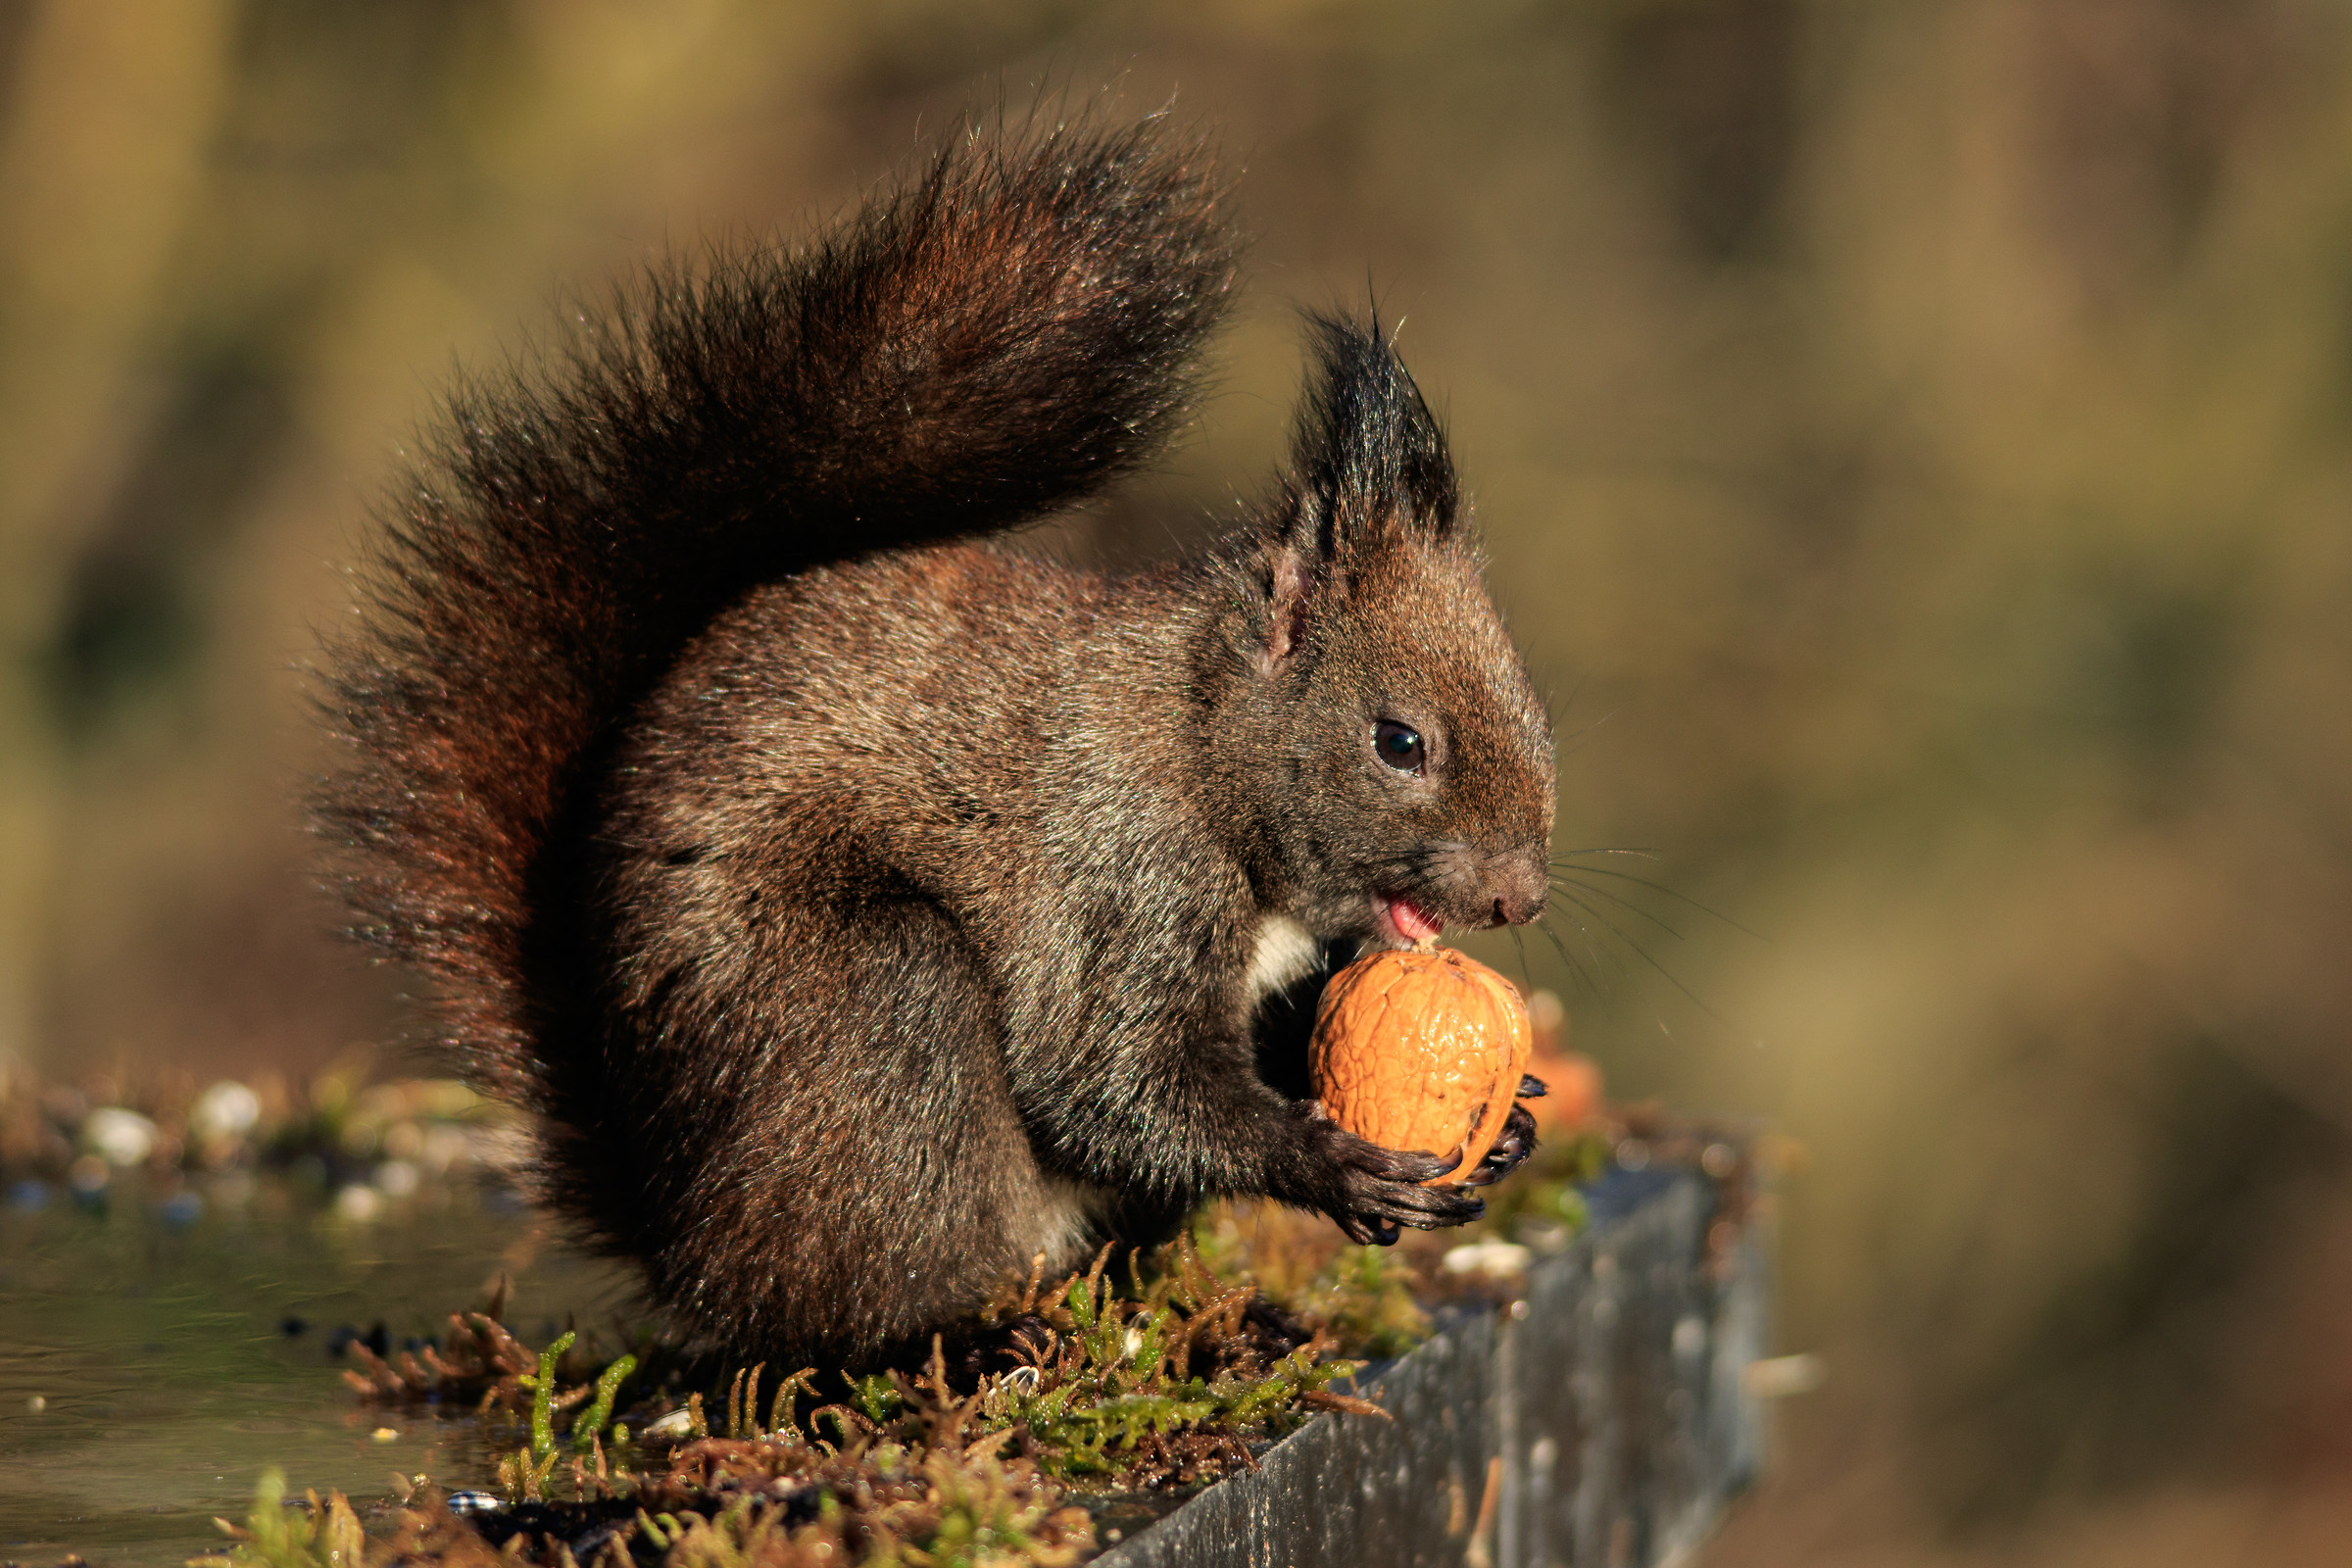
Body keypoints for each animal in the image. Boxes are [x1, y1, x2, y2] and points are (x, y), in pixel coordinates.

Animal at [316, 115, 1557, 1368]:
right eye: (1398, 741)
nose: (1521, 896)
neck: (1200, 738)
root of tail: (677, 1234)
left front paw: (1506, 1126)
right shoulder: (1117, 866)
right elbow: (1109, 1078)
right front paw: (1328, 1163)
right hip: (878, 1015)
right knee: (840, 1302)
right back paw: (952, 1337)